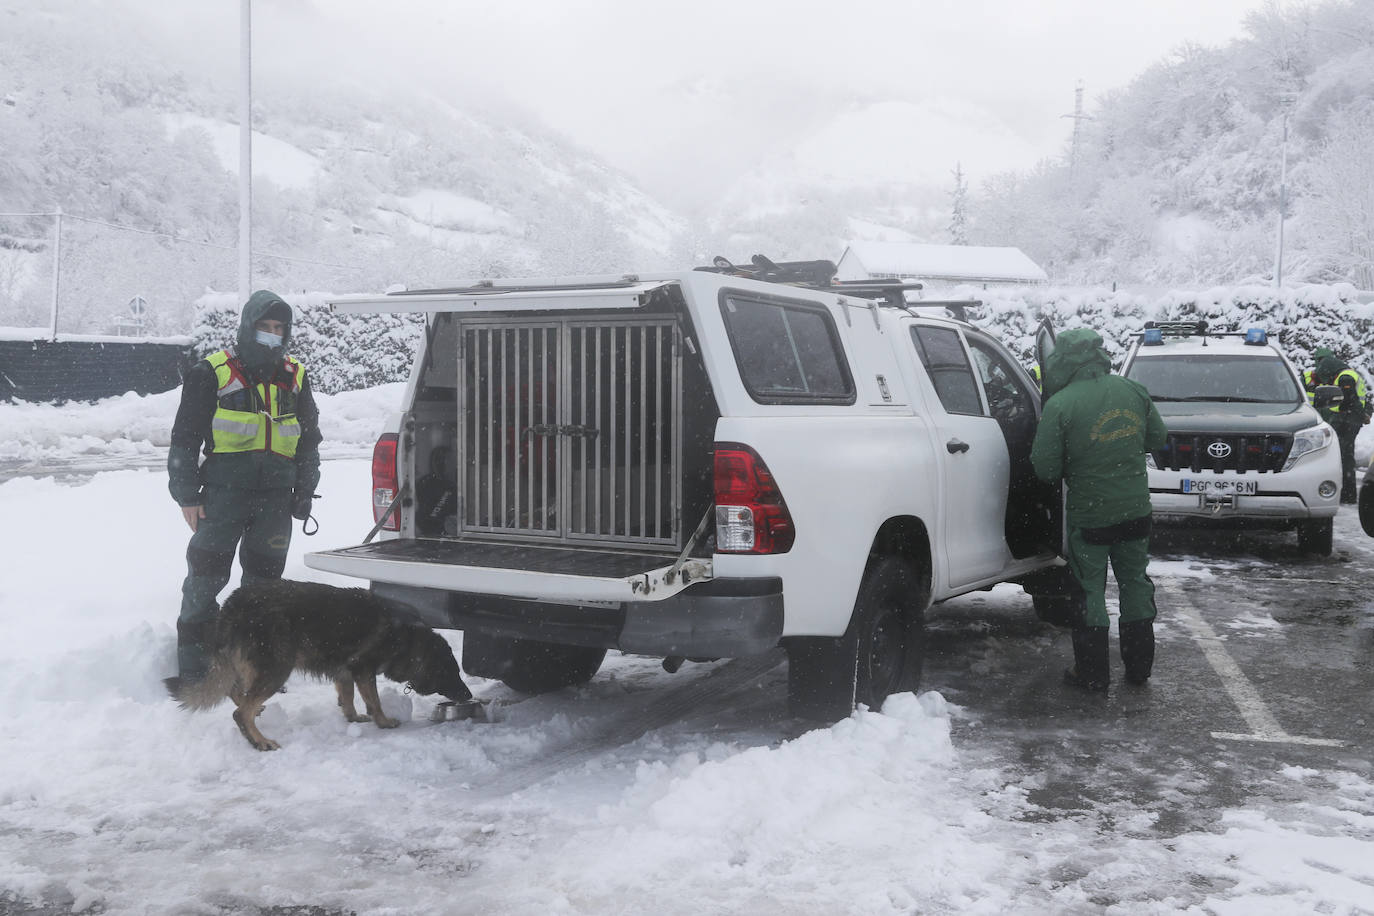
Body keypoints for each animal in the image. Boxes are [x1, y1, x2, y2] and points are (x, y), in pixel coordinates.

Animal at [162, 579, 467, 752]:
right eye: (451, 672)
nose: (467, 695)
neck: (410, 637)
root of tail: (231, 606)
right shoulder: (363, 670)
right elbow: (374, 701)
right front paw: (383, 721)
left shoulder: (345, 672)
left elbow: (348, 697)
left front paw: (352, 717)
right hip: (277, 669)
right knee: (240, 712)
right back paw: (260, 741)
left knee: (236, 693)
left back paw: (257, 715)